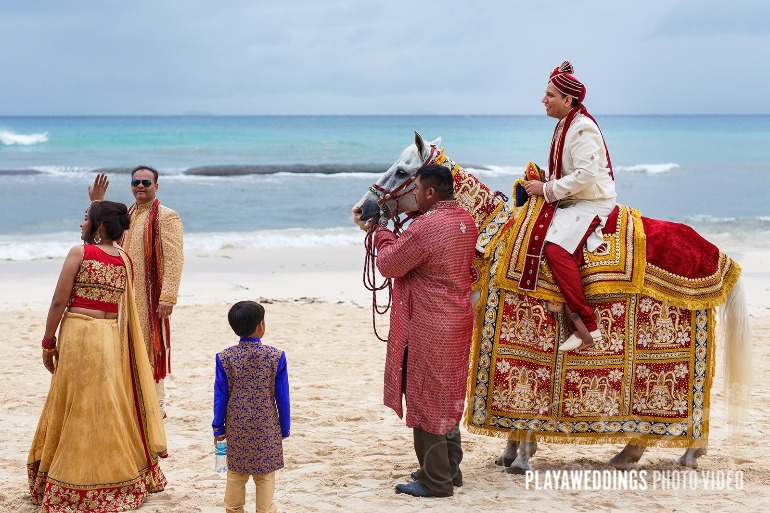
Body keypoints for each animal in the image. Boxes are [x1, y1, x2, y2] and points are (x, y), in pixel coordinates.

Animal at [354, 132, 752, 472]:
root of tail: (719, 256)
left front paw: (522, 456)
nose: (362, 210)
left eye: (402, 170)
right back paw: (633, 455)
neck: (494, 238)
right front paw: (511, 452)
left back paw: (682, 454)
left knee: (695, 404)